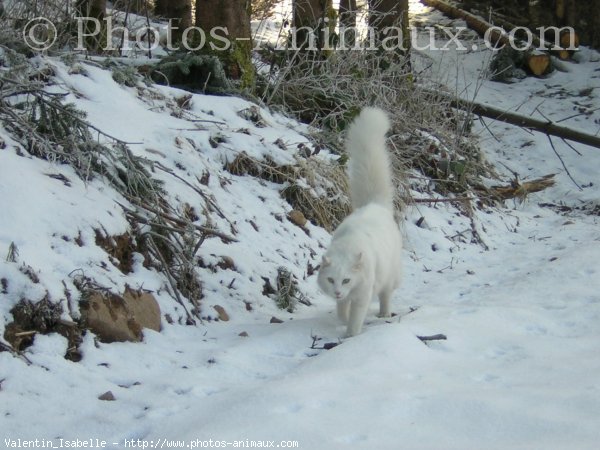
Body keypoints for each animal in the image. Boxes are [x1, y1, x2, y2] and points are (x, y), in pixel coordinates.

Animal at [318, 107, 404, 336]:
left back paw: (384, 313)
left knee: (386, 296)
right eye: (331, 280)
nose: (338, 292)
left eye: (347, 280)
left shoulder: (362, 296)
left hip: (389, 278)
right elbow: (342, 311)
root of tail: (374, 205)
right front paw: (343, 320)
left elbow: (355, 319)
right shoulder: (344, 299)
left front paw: (351, 335)